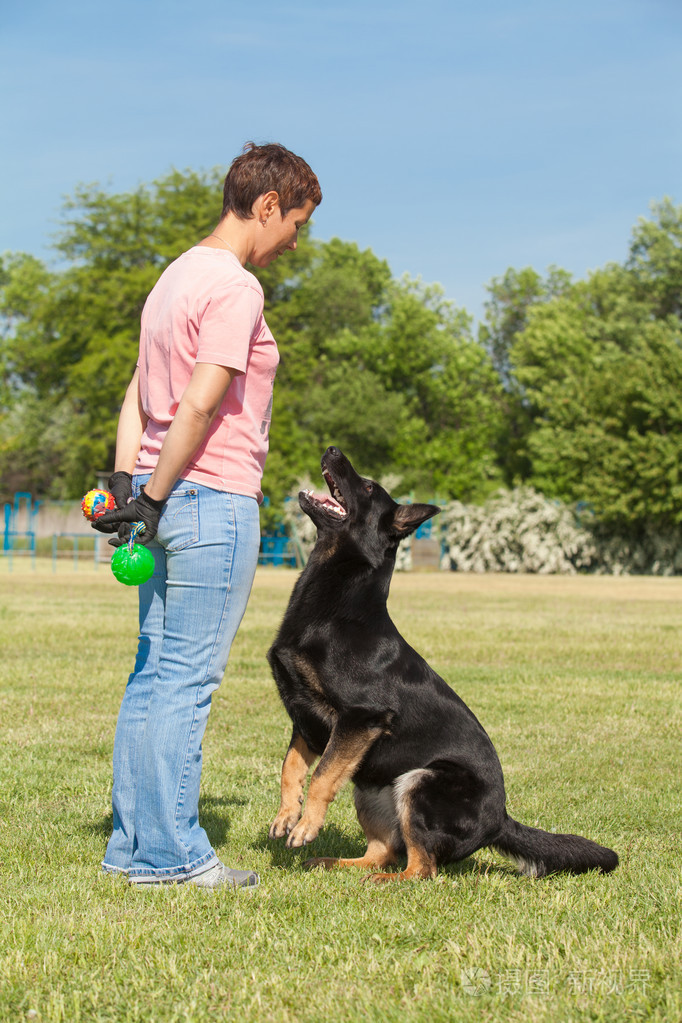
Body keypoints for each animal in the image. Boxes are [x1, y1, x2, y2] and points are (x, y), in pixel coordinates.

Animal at [265, 443, 617, 883]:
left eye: (368, 486)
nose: (332, 448)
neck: (340, 607)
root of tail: (500, 820)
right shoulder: (307, 722)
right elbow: (292, 767)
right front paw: (286, 815)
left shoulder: (360, 717)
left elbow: (323, 774)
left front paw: (307, 824)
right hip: (372, 787)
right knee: (383, 851)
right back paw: (338, 866)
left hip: (420, 782)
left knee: (422, 869)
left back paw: (384, 882)